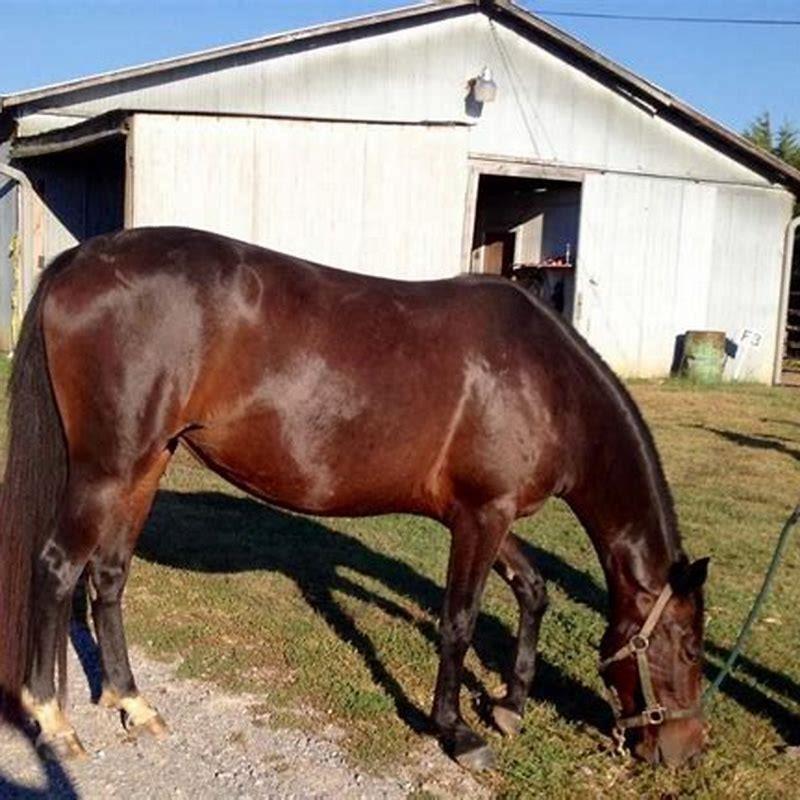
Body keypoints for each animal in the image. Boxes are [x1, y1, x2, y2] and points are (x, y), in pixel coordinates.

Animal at [0, 226, 708, 770]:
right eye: (690, 648)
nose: (686, 751)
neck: (545, 380)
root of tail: (80, 259)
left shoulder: (488, 514)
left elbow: (533, 590)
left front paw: (508, 705)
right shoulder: (481, 516)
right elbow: (458, 622)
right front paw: (456, 731)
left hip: (148, 463)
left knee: (109, 575)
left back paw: (132, 701)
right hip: (107, 470)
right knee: (58, 567)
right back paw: (53, 720)